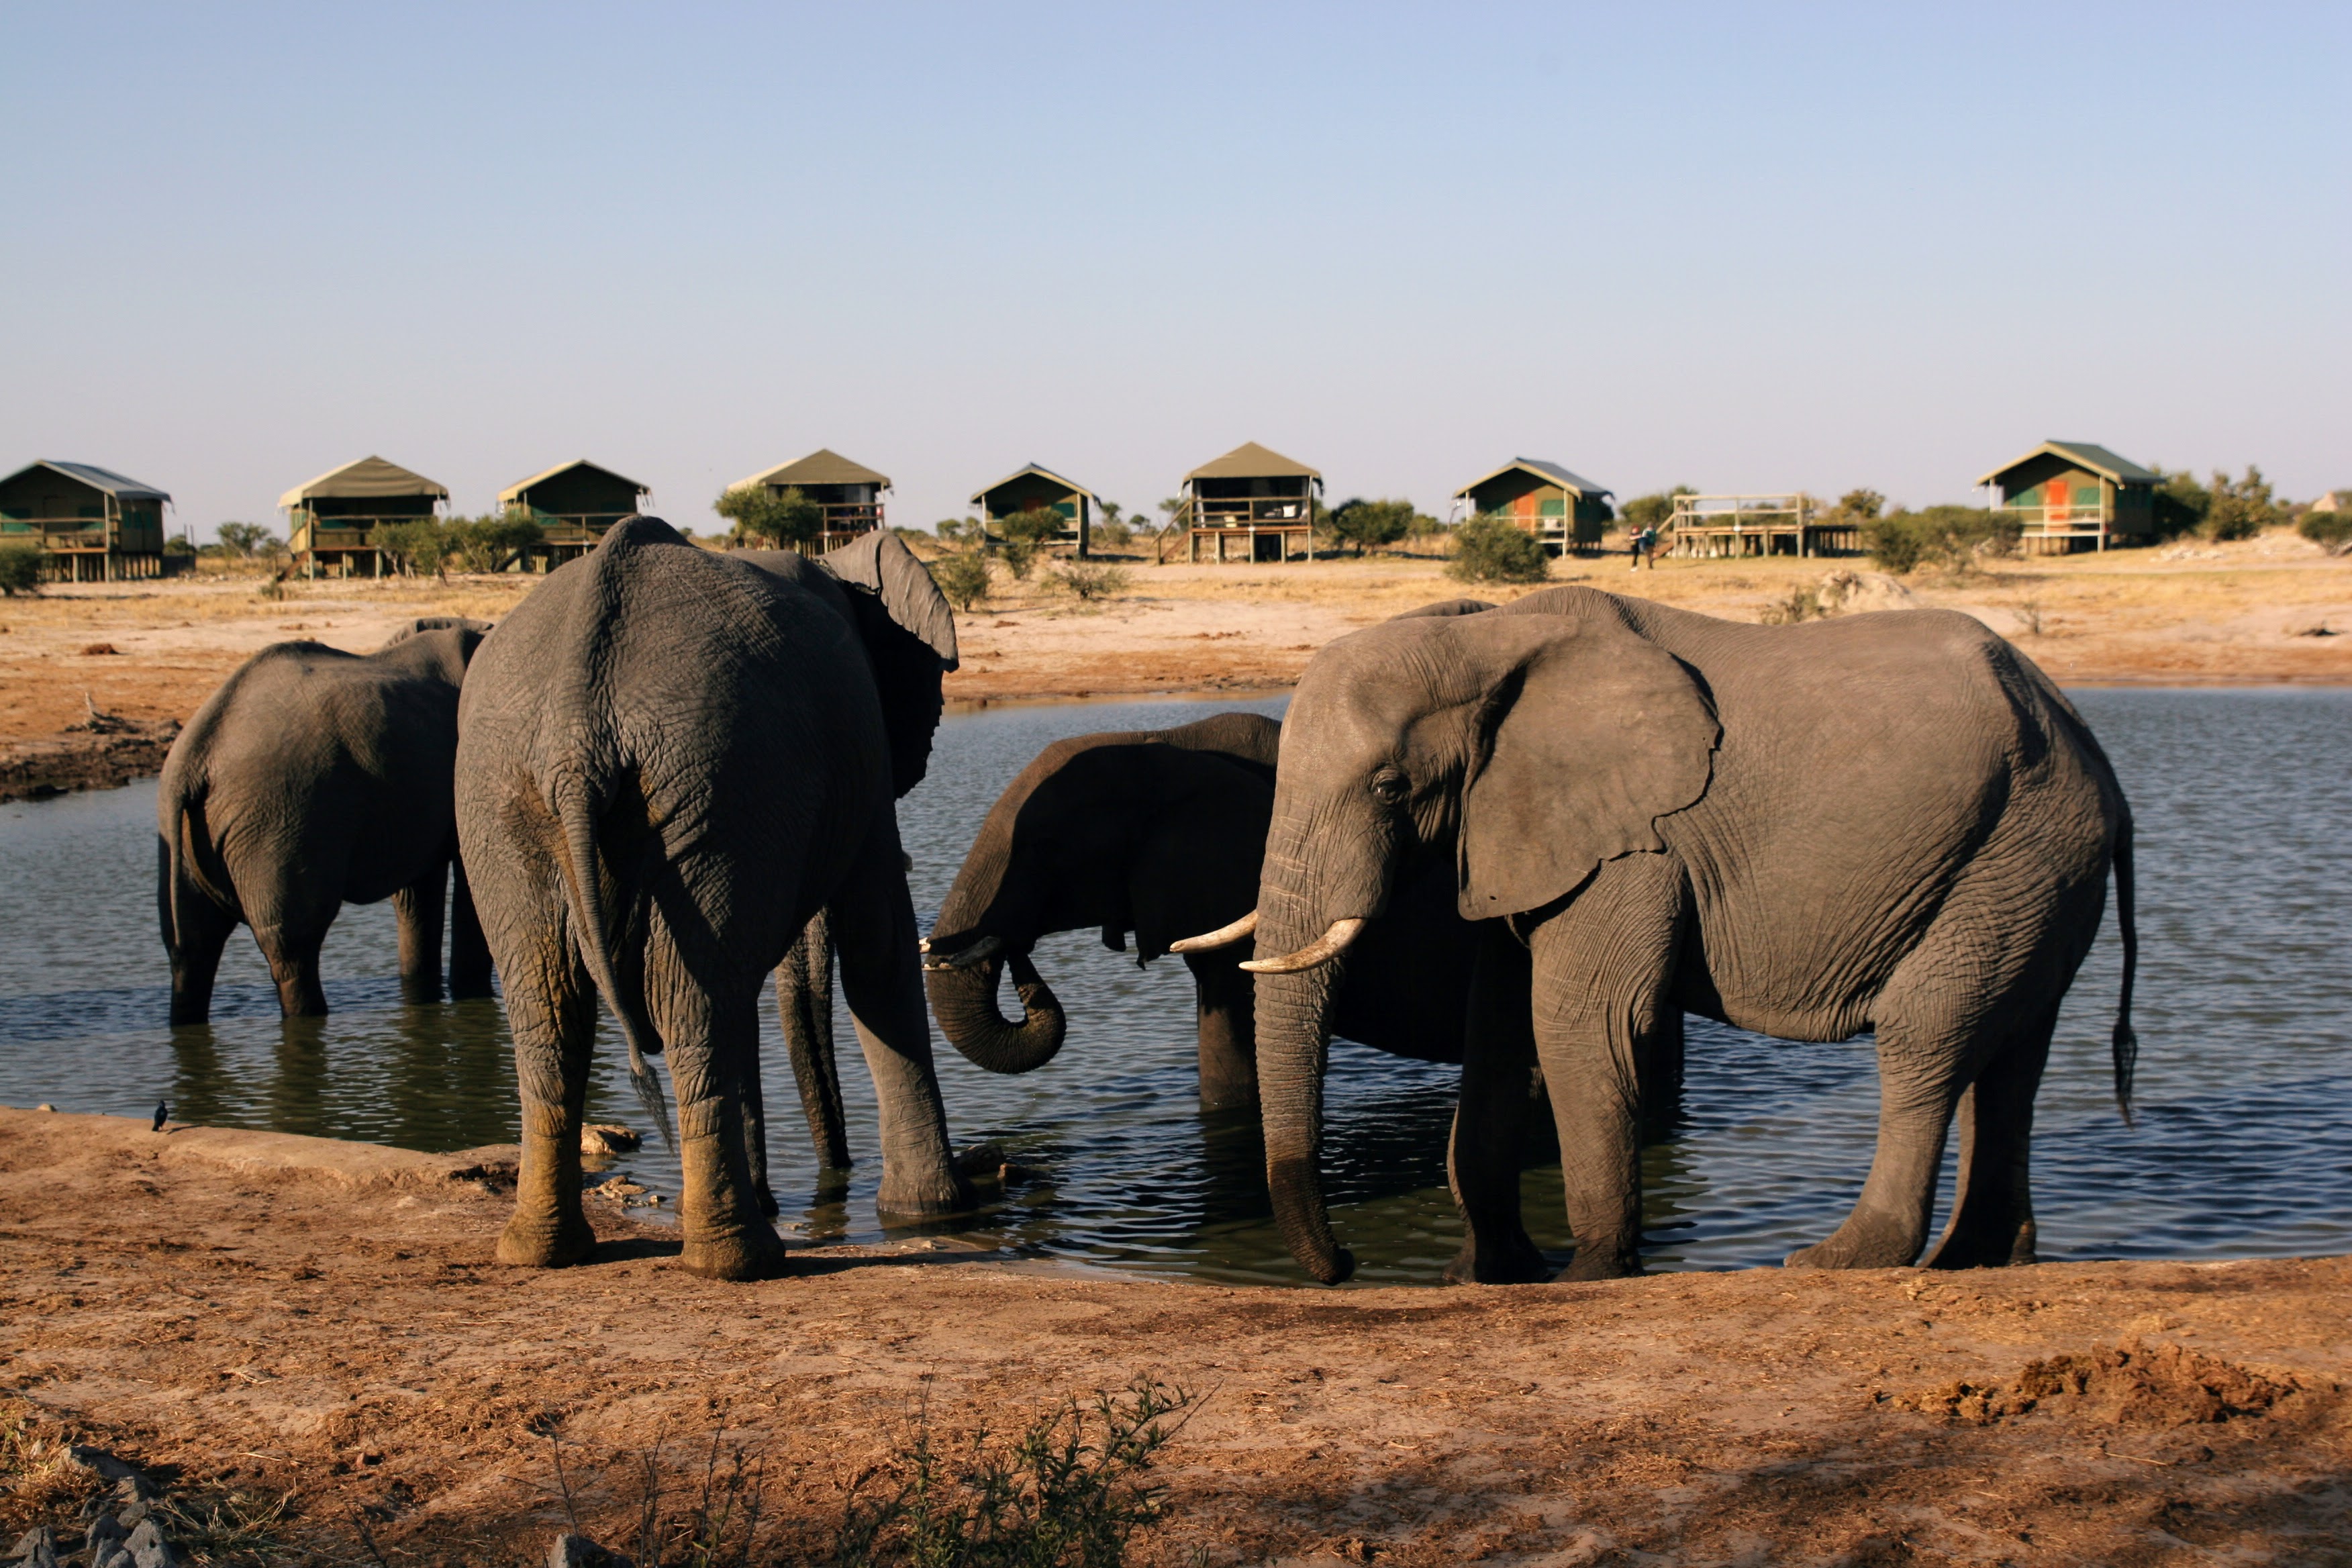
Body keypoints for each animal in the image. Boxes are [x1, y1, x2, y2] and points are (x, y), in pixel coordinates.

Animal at [157, 617, 495, 1025]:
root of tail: (195, 755)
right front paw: (473, 994)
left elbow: (417, 895)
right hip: (283, 816)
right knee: (292, 944)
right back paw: (309, 1016)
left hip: (186, 833)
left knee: (191, 947)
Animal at [454, 517, 971, 1281]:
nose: (837, 1173)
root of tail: (578, 732)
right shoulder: (861, 764)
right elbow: (880, 946)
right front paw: (933, 1213)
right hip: (708, 777)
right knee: (689, 1003)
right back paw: (740, 1259)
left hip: (524, 791)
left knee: (562, 1006)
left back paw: (547, 1251)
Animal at [1217, 585, 2137, 1285]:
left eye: (1388, 786)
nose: (1344, 1265)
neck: (1488, 633)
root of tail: (2084, 735)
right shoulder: (1524, 829)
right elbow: (1498, 1025)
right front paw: (1486, 1275)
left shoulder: (1637, 842)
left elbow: (1578, 1020)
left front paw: (1586, 1277)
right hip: (2035, 867)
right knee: (2011, 1056)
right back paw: (1980, 1258)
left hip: (2019, 848)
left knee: (1929, 1034)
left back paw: (1838, 1260)